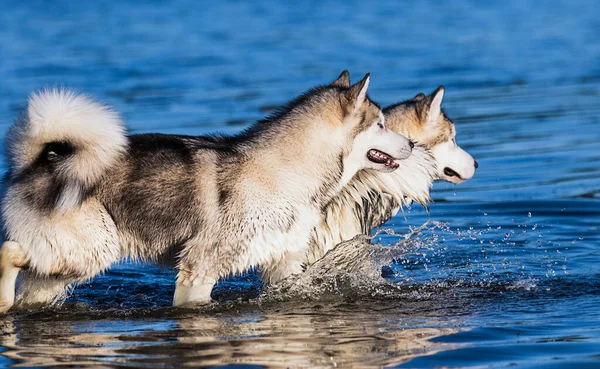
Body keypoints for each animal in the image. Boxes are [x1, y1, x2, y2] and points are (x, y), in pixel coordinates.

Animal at [0, 72, 414, 310]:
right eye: (380, 124)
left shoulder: (282, 268)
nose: (410, 143)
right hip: (92, 249)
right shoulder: (199, 270)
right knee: (9, 252)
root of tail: (38, 161)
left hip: (67, 266)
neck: (288, 173)